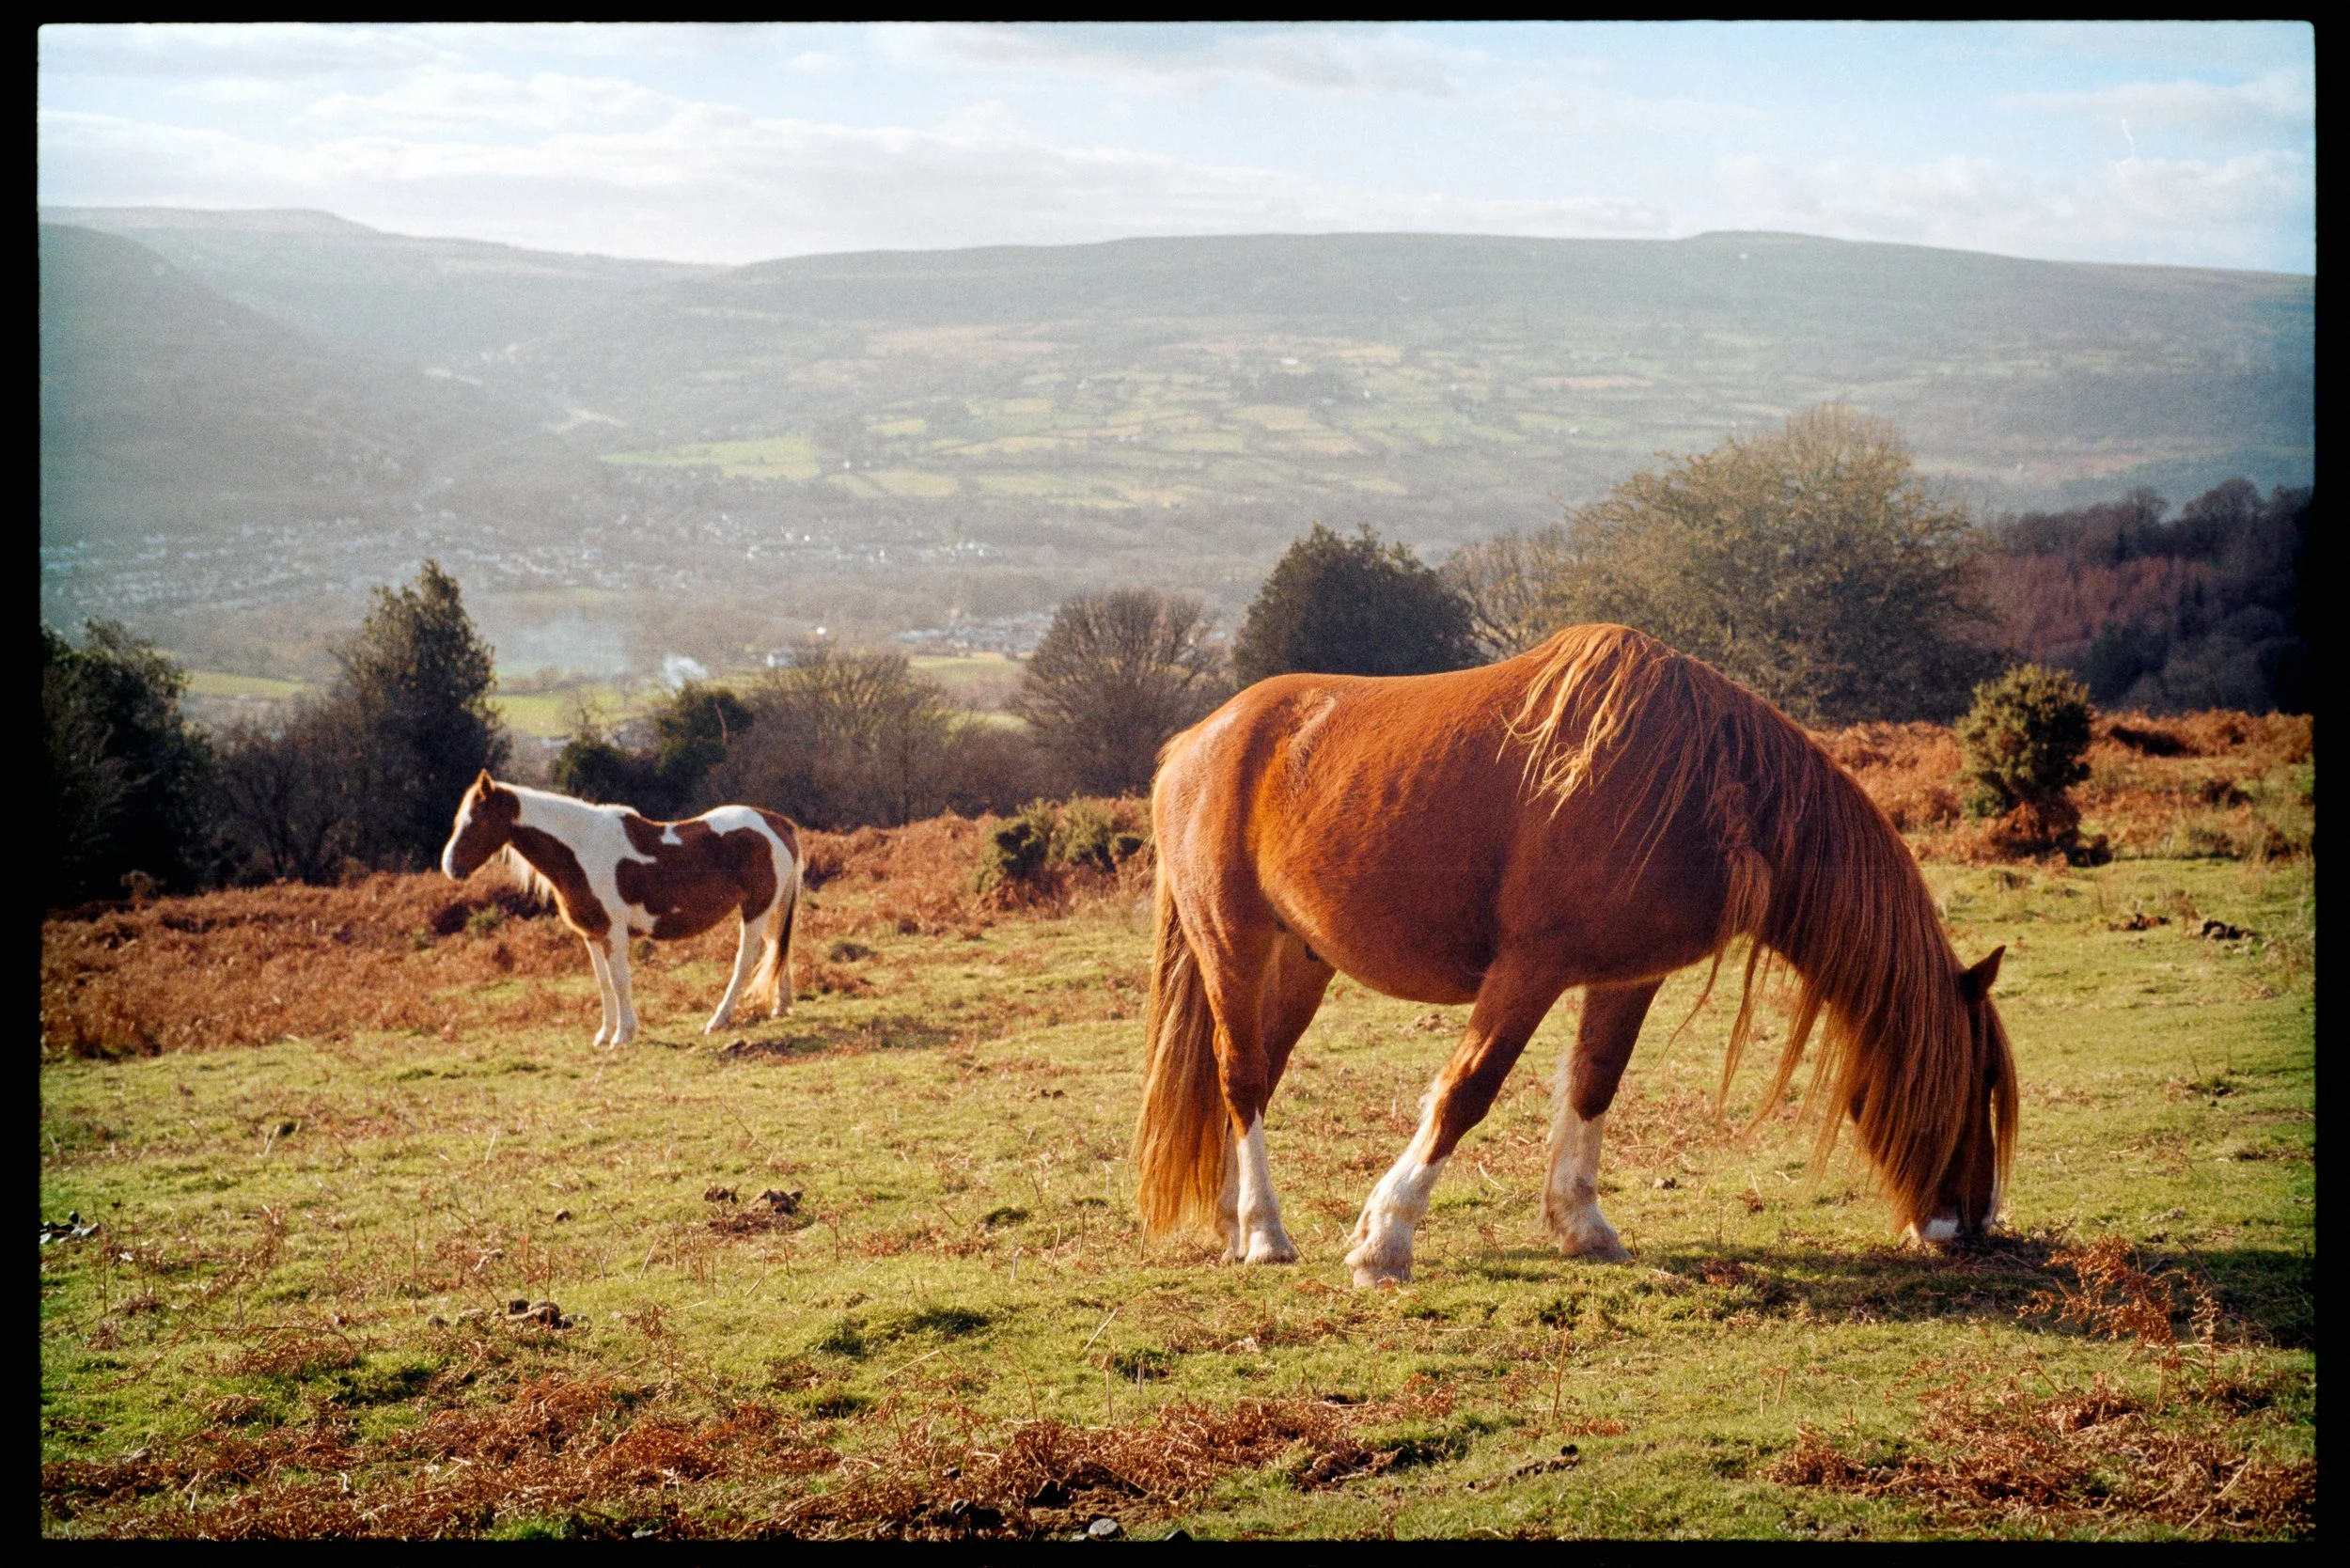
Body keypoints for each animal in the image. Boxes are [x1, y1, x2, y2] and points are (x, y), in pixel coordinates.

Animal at [439, 772, 802, 1047]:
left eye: (477, 820)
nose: (450, 867)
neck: (581, 849)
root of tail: (777, 823)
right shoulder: (592, 934)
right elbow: (603, 983)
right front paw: (605, 1034)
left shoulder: (614, 932)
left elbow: (619, 981)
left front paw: (624, 1035)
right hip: (770, 909)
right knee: (777, 949)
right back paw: (781, 1006)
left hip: (755, 911)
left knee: (745, 962)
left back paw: (718, 1020)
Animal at [1133, 624, 2015, 1287]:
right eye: (1974, 1084)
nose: (1970, 1225)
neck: (1699, 782)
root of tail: (1194, 744)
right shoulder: (1529, 971)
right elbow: (1466, 1090)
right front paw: (1385, 1241)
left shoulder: (1629, 977)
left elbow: (1595, 1083)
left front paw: (1583, 1225)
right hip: (1233, 944)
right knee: (1241, 1075)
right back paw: (1265, 1234)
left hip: (1301, 962)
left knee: (1252, 1074)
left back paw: (1233, 1223)